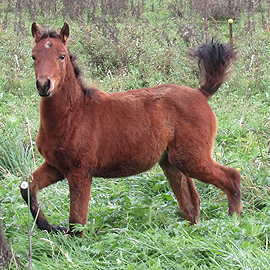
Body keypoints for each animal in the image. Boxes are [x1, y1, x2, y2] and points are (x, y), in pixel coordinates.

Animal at [20, 21, 242, 236]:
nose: (44, 85)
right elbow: (27, 187)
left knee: (232, 178)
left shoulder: (79, 172)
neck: (75, 114)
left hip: (191, 158)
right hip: (171, 162)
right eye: (33, 55)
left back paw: (234, 223)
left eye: (62, 56)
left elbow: (77, 221)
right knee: (190, 204)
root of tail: (201, 93)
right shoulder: (56, 166)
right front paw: (49, 227)